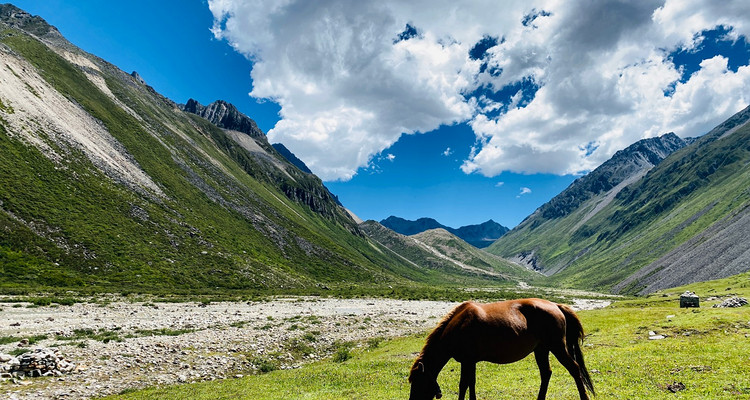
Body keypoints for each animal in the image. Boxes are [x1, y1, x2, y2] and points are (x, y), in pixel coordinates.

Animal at [408, 298, 596, 400]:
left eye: (418, 382)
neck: (457, 326)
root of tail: (556, 305)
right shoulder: (471, 362)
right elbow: (471, 383)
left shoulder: (467, 361)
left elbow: (463, 385)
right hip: (541, 349)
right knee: (546, 373)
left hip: (557, 347)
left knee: (574, 369)